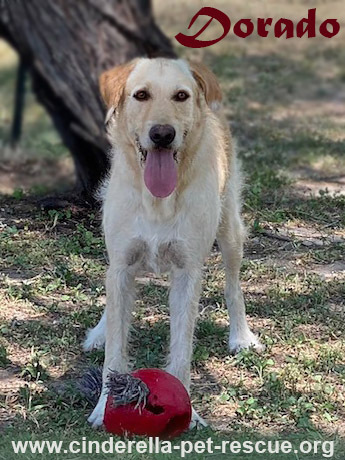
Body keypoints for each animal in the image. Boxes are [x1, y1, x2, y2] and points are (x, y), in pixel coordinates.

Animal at [83, 56, 260, 428]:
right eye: (141, 95)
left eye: (181, 95)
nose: (162, 134)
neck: (157, 200)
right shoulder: (121, 266)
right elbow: (115, 350)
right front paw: (105, 406)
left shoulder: (187, 273)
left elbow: (181, 348)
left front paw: (186, 412)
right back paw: (100, 331)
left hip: (230, 229)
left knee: (233, 285)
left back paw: (241, 336)